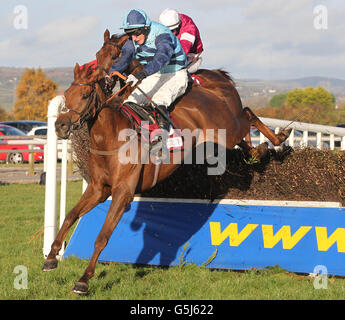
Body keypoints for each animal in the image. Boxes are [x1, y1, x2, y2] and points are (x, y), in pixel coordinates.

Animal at [42, 57, 290, 296]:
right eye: (66, 95)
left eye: (85, 95)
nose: (60, 125)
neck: (112, 137)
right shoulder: (98, 189)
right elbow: (70, 216)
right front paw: (51, 257)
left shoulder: (123, 192)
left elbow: (102, 236)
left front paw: (83, 280)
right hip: (225, 137)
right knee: (246, 134)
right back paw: (259, 151)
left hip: (228, 129)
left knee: (247, 113)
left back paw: (279, 138)